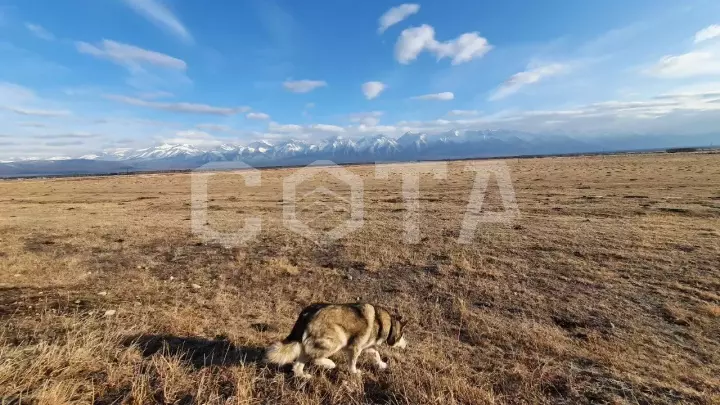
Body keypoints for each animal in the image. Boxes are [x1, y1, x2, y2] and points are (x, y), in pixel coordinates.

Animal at [266, 302, 410, 378]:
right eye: (402, 335)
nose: (406, 345)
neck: (386, 323)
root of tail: (307, 313)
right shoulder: (355, 348)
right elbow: (353, 363)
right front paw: (355, 373)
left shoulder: (367, 347)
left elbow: (376, 354)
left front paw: (382, 365)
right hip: (337, 340)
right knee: (314, 358)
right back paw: (329, 364)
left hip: (308, 345)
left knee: (298, 365)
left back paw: (304, 376)